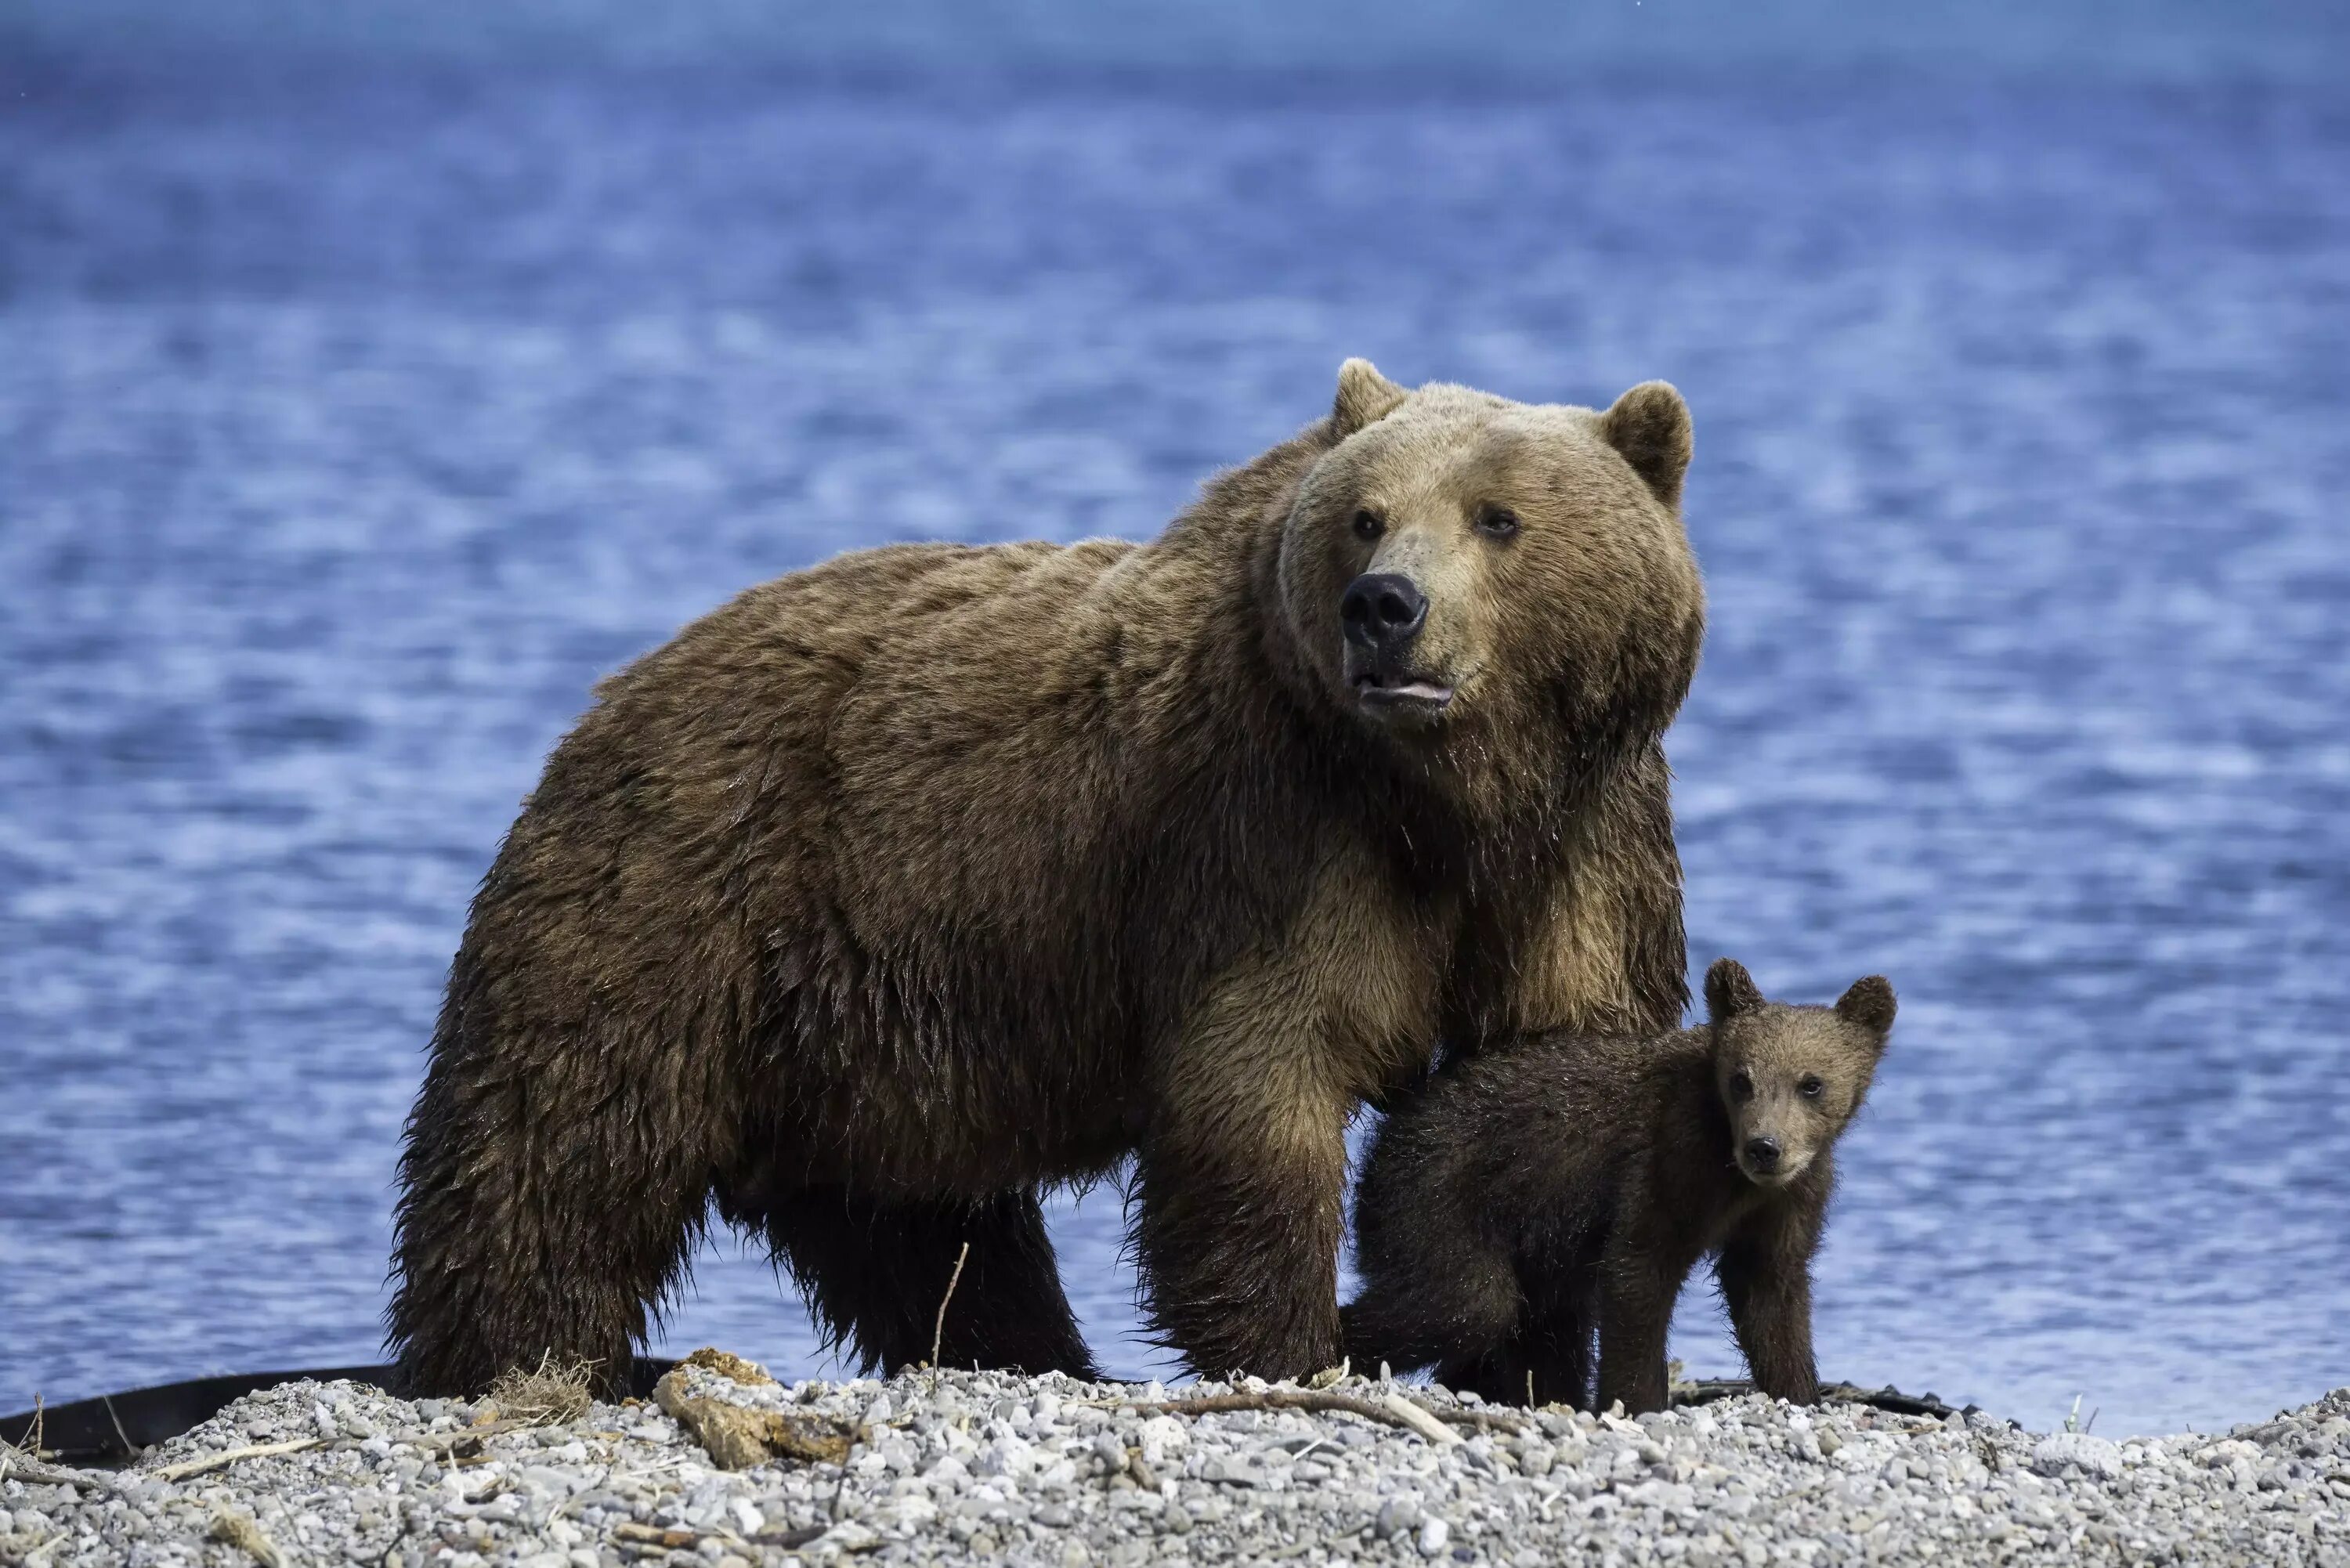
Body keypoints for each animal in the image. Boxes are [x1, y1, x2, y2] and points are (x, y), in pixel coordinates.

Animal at [385, 359, 1711, 1400]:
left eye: (1499, 517)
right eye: (1367, 516)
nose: (1385, 607)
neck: (1450, 797)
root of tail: (613, 696)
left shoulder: (1586, 841)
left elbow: (1546, 1077)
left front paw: (1531, 1353)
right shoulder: (1267, 834)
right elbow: (1262, 1083)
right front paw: (1298, 1343)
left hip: (863, 1030)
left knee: (918, 1228)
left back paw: (1029, 1353)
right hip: (676, 902)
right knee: (558, 1153)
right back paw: (514, 1355)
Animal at [1344, 959, 1889, 1410]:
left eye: (1811, 1083)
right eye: (1742, 1079)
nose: (1764, 1147)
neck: (1734, 1174)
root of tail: (1392, 1125)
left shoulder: (1789, 1198)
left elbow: (1771, 1292)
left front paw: (1799, 1392)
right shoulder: (1671, 1160)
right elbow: (1638, 1272)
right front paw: (1636, 1402)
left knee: (1541, 1328)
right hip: (1436, 1192)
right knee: (1463, 1301)